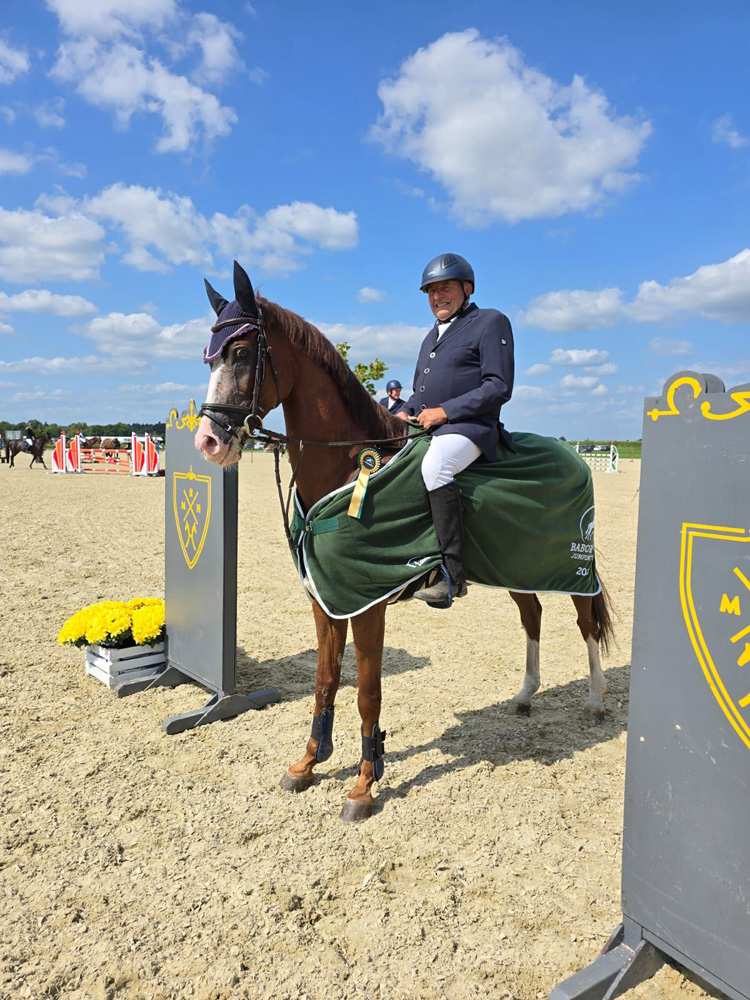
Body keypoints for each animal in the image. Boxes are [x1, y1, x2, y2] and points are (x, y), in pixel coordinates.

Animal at [195, 262, 614, 823]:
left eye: (241, 353)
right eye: (210, 354)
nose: (208, 442)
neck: (350, 463)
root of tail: (574, 455)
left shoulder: (368, 602)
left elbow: (368, 694)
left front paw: (363, 786)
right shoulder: (327, 599)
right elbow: (325, 682)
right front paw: (308, 764)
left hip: (570, 567)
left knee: (586, 623)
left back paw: (595, 702)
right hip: (516, 564)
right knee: (532, 616)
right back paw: (525, 695)